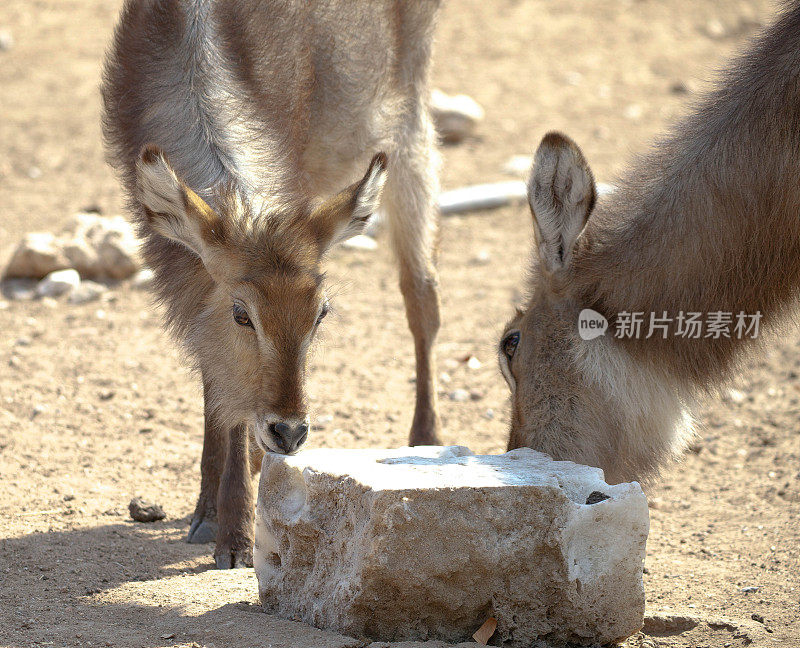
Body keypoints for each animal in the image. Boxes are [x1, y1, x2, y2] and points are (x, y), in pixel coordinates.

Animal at [101, 0, 444, 568]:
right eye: (242, 313)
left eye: (321, 312)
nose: (289, 430)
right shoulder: (199, 294)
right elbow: (217, 382)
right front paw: (210, 514)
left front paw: (236, 538)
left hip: (408, 124)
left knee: (423, 297)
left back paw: (426, 440)